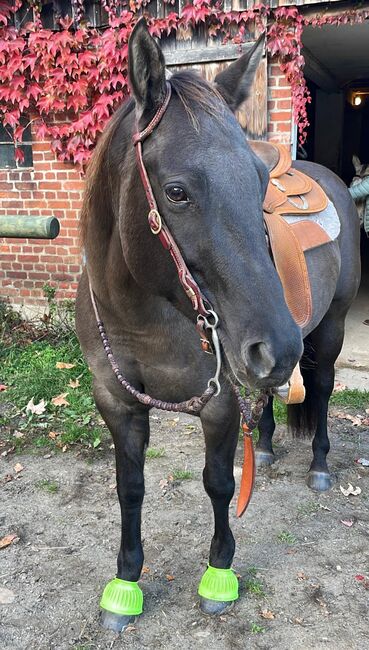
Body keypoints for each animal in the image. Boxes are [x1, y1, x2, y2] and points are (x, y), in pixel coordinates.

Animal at [75, 19, 360, 628]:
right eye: (177, 192)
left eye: (258, 184)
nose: (277, 343)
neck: (146, 316)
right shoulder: (117, 403)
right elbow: (129, 487)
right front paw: (126, 581)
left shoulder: (219, 402)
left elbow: (220, 483)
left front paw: (219, 572)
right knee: (276, 393)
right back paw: (269, 445)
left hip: (328, 330)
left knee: (322, 389)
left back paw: (320, 464)